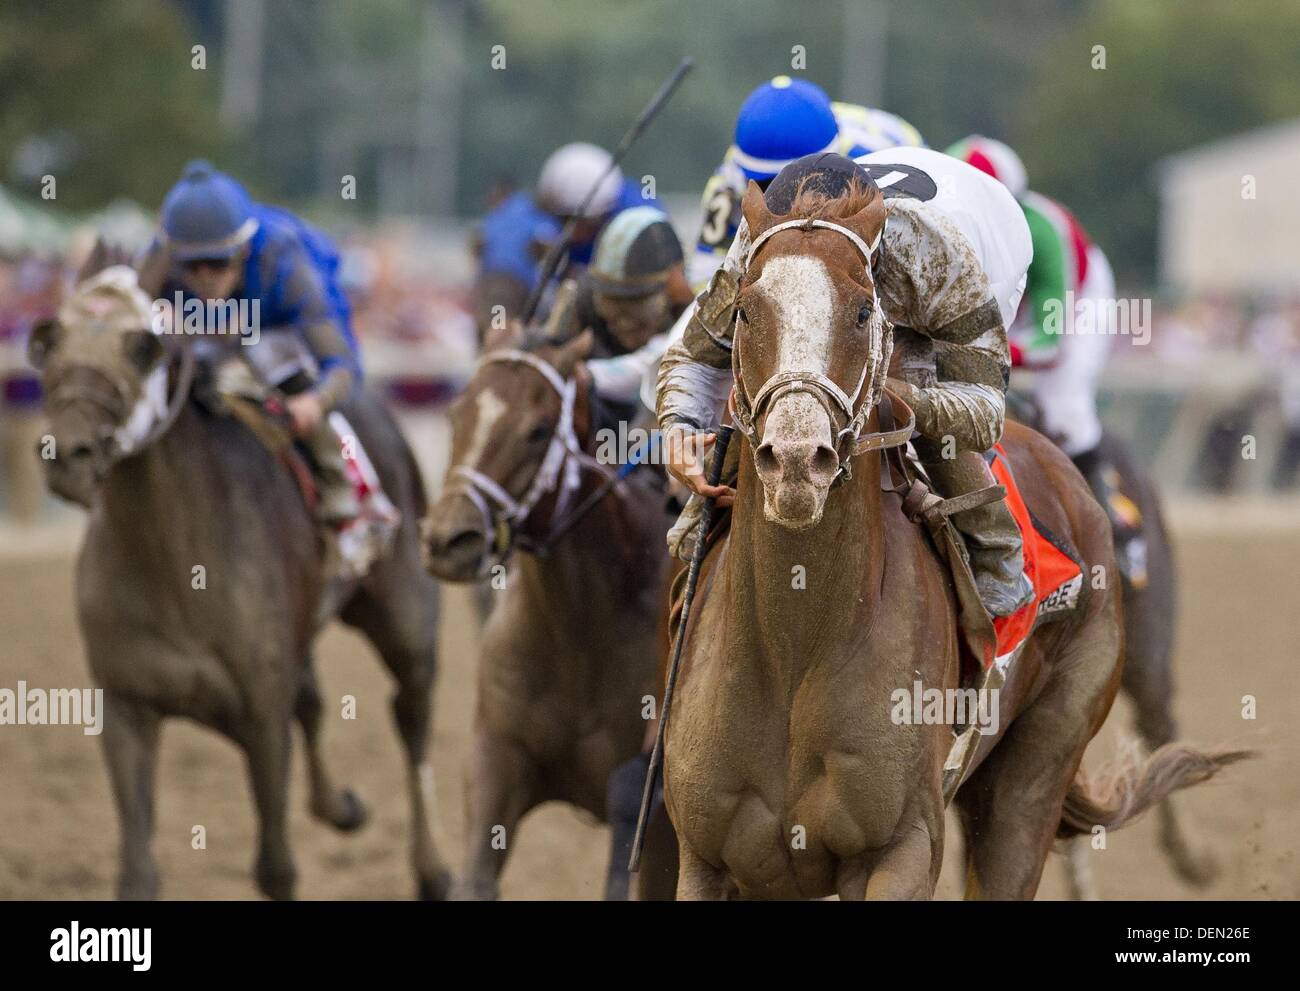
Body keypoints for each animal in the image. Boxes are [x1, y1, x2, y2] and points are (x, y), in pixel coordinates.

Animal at [27, 252, 449, 894]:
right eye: (50, 341)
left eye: (142, 347)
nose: (69, 454)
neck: (176, 572)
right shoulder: (126, 707)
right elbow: (138, 873)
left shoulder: (261, 717)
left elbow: (275, 867)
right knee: (315, 701)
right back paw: (343, 807)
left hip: (406, 618)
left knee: (412, 715)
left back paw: (434, 869)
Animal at [665, 182, 1242, 899]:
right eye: (745, 310)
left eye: (863, 312)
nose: (797, 459)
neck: (794, 647)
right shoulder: (706, 857)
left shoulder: (901, 847)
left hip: (1038, 768)